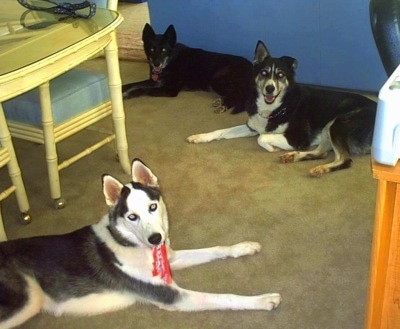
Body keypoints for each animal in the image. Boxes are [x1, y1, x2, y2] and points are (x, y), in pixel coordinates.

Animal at [0, 158, 282, 326]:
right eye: (132, 216)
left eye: (153, 207)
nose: (156, 238)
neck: (130, 243)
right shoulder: (171, 295)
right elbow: (224, 297)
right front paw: (262, 300)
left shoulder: (171, 257)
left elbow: (215, 249)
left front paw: (243, 247)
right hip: (28, 300)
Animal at [122, 23, 253, 113]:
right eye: (152, 49)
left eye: (164, 50)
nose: (156, 64)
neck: (171, 61)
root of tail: (251, 66)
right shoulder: (154, 81)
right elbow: (134, 84)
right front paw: (122, 89)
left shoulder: (170, 89)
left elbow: (143, 89)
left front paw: (128, 95)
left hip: (217, 80)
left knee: (241, 96)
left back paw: (224, 105)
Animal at [186, 41, 376, 177]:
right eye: (263, 73)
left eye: (280, 75)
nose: (270, 89)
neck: (274, 108)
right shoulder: (252, 126)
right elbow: (222, 131)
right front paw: (200, 137)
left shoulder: (298, 138)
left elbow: (262, 137)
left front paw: (272, 148)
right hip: (328, 129)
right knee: (322, 152)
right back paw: (293, 156)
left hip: (337, 124)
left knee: (345, 160)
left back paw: (320, 168)